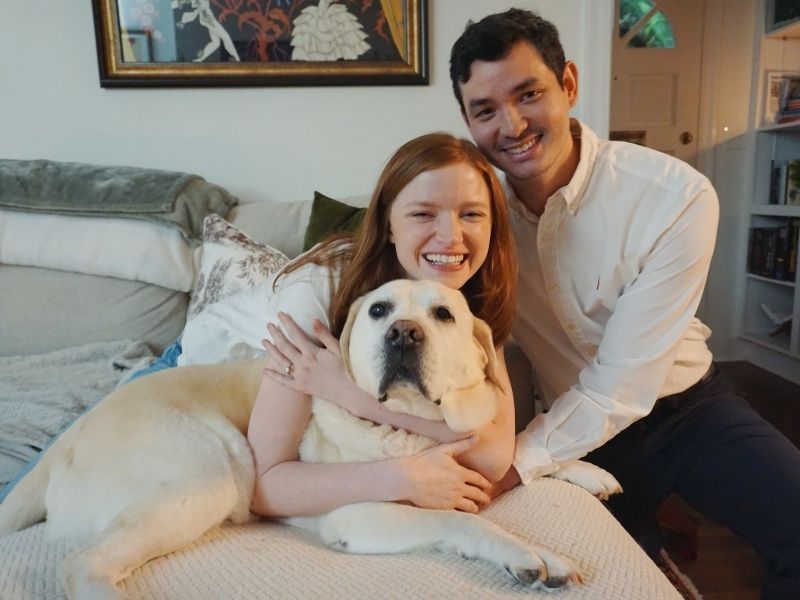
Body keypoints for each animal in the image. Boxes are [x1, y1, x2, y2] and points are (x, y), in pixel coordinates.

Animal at [0, 282, 612, 600]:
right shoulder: (359, 512)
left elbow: (522, 452)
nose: (403, 334)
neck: (412, 425)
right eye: (379, 310)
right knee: (81, 563)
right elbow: (463, 520)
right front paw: (531, 553)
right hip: (212, 470)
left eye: (443, 314)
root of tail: (60, 444)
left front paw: (587, 472)